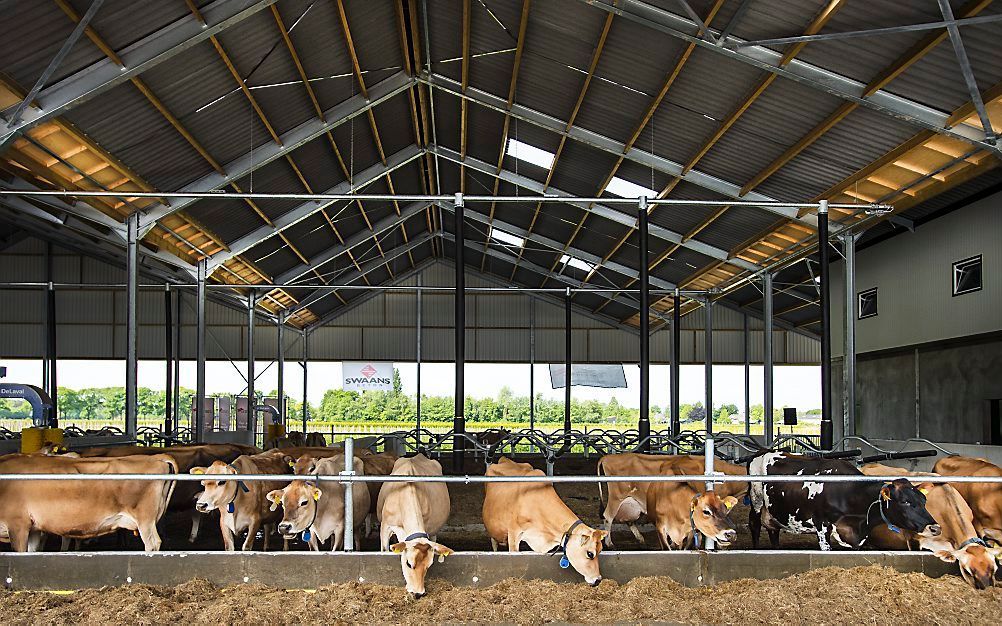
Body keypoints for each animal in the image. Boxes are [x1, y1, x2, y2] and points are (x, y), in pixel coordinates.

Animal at [749, 450, 941, 548]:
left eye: (924, 501)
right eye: (905, 501)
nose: (935, 528)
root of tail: (763, 451)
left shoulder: (857, 535)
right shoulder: (822, 526)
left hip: (774, 509)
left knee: (773, 529)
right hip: (756, 500)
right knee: (755, 525)